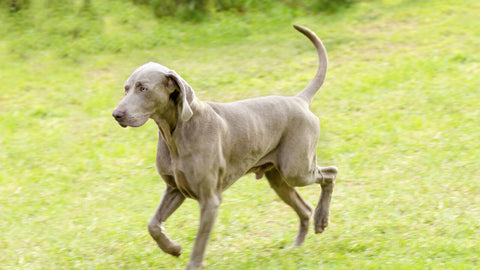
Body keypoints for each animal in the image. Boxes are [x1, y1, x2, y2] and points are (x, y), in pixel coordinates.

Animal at [112, 24, 338, 268]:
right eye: (126, 89)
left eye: (143, 88)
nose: (116, 114)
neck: (175, 134)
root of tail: (299, 100)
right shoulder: (175, 189)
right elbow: (153, 224)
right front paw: (173, 248)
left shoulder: (210, 200)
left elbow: (200, 241)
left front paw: (191, 262)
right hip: (278, 178)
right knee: (304, 208)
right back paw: (296, 246)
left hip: (296, 170)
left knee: (330, 173)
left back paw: (322, 220)